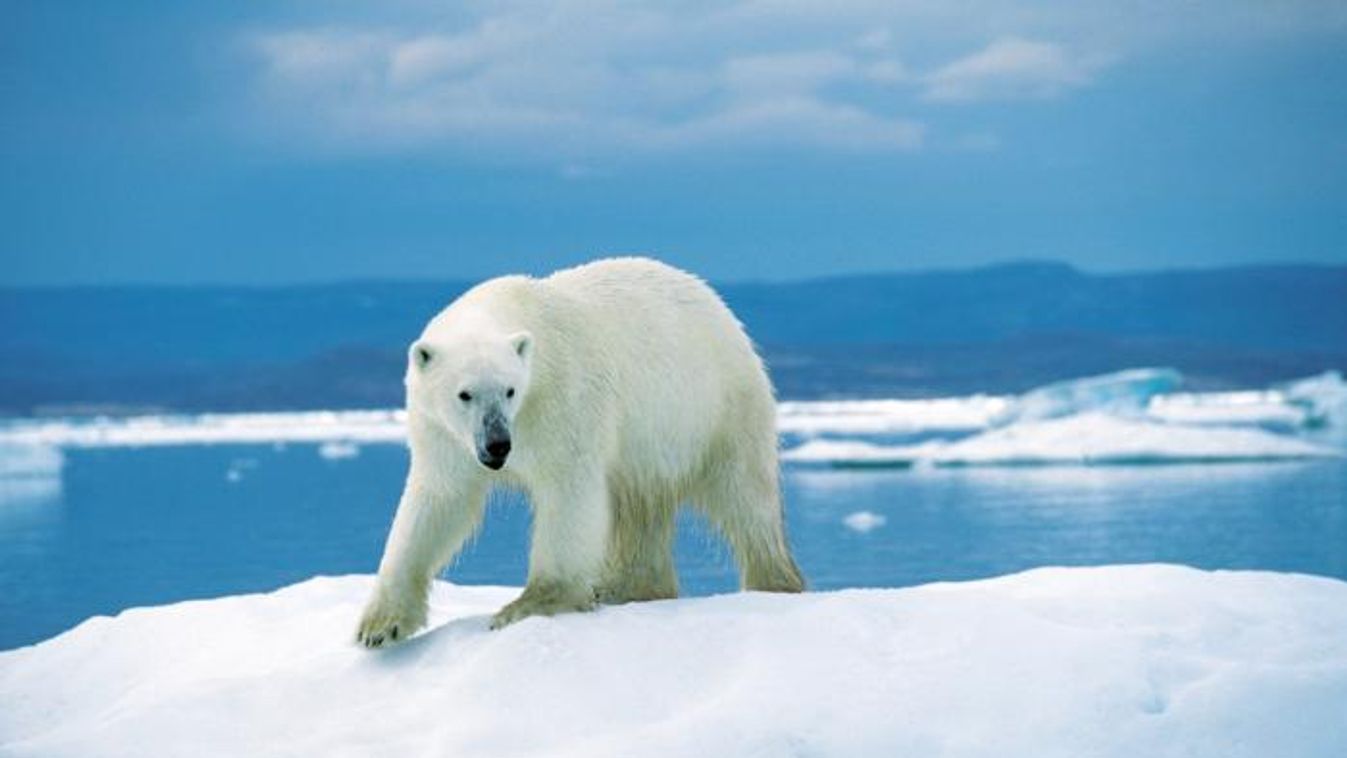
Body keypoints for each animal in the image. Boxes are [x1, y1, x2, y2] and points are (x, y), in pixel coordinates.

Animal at [355, 257, 797, 646]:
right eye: (465, 394)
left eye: (510, 390)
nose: (498, 445)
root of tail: (722, 310)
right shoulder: (443, 434)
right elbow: (439, 501)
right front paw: (379, 626)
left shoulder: (564, 398)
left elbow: (568, 492)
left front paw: (527, 605)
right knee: (638, 508)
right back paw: (626, 586)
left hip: (715, 408)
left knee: (745, 500)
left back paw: (773, 582)